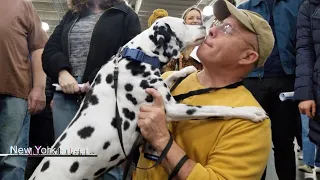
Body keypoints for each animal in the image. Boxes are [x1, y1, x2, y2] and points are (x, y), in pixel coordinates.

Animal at [29, 16, 268, 179]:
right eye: (184, 22)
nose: (206, 25)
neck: (136, 56)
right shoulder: (173, 108)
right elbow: (218, 108)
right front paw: (250, 112)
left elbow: (171, 76)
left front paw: (187, 70)